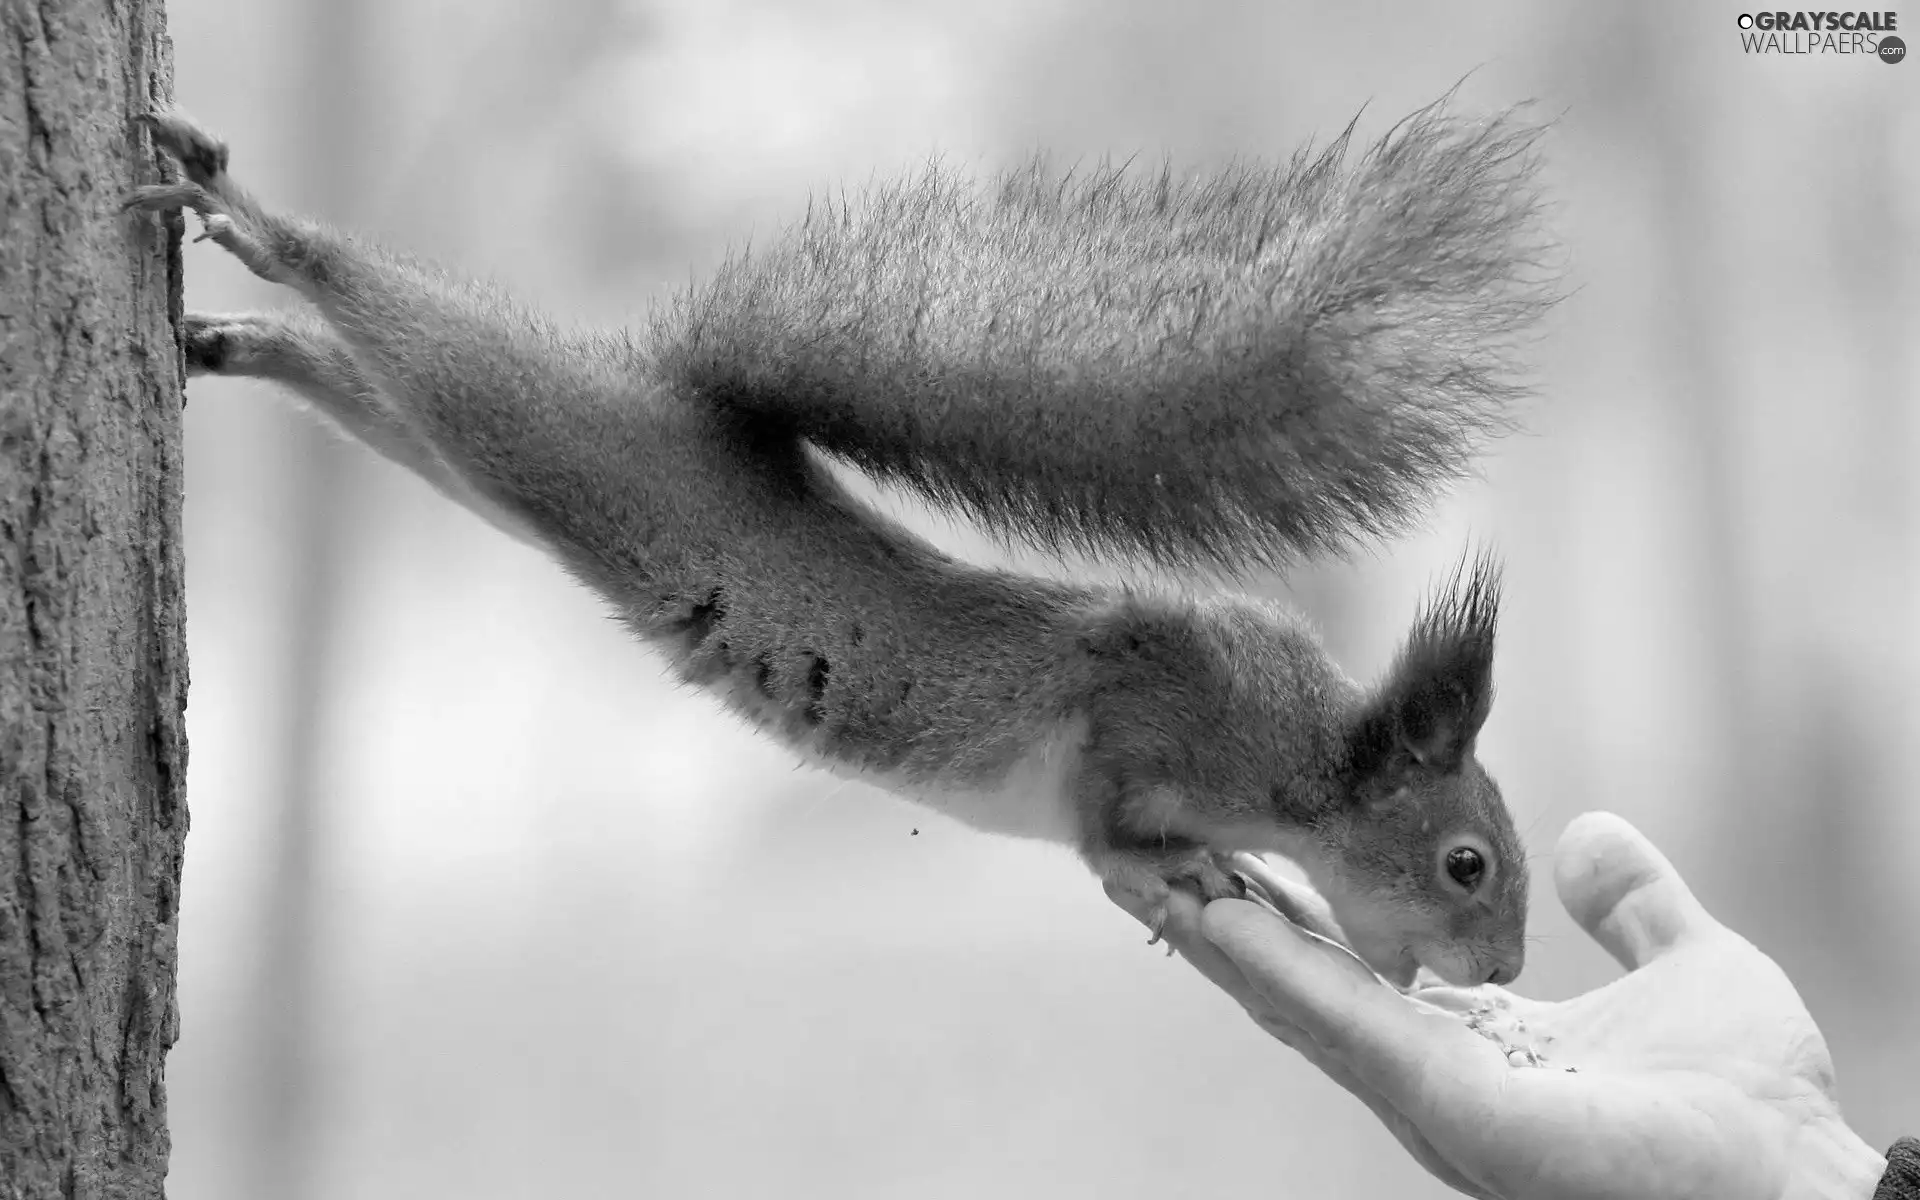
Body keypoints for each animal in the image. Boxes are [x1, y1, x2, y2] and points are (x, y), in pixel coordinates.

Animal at [123, 96, 1559, 983]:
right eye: (1468, 863)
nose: (1504, 969)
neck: (1296, 759)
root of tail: (668, 399)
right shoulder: (1149, 702)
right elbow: (1108, 817)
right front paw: (1193, 866)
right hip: (541, 428)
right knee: (409, 327)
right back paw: (257, 224)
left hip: (487, 465)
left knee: (371, 389)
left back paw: (244, 340)